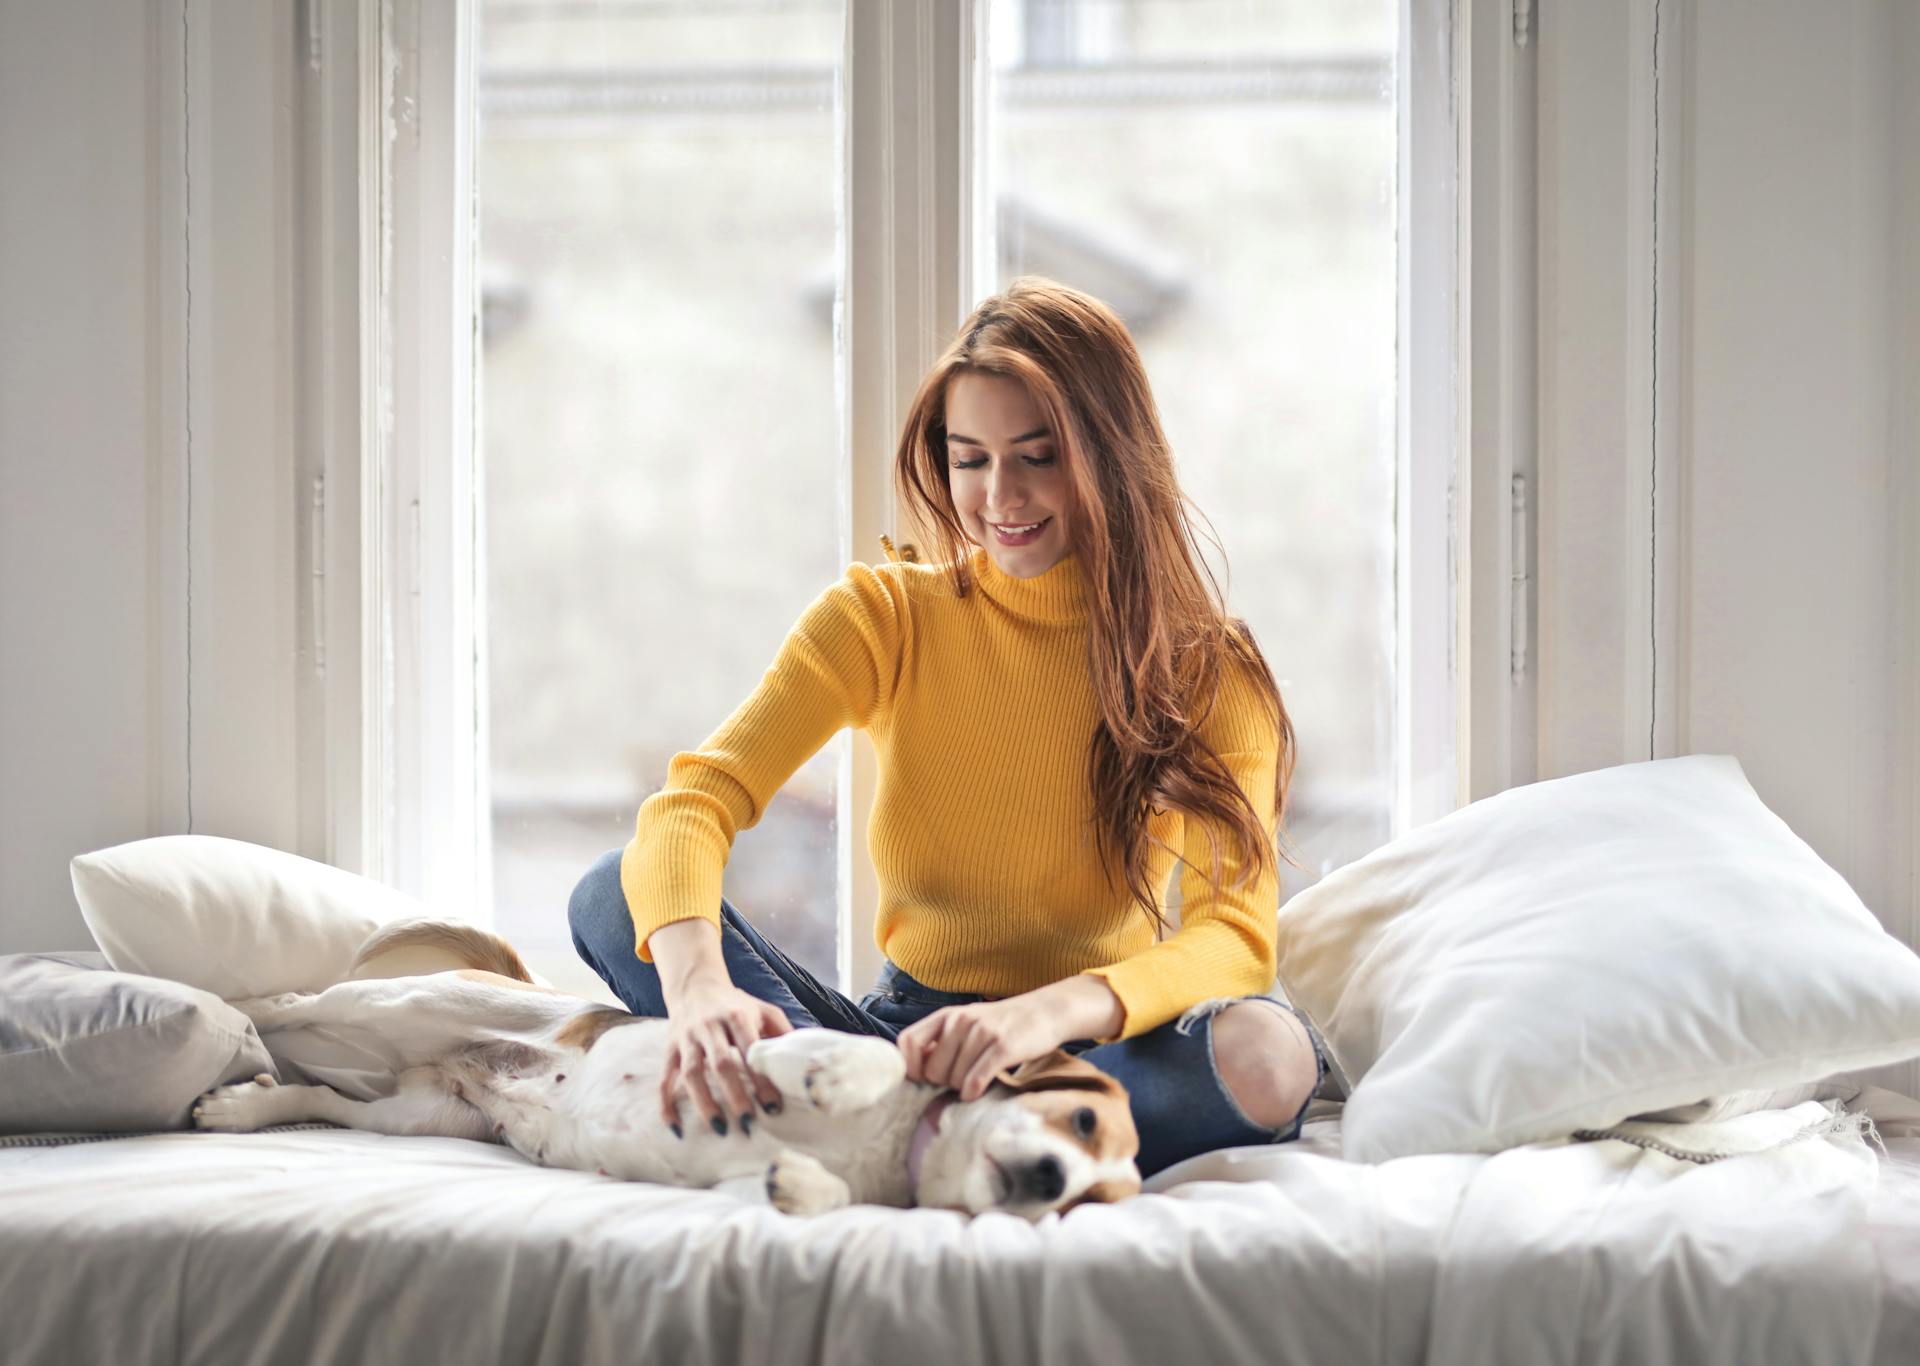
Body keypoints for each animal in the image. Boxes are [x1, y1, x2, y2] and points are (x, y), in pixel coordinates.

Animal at [191, 918, 1136, 1221]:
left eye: (1086, 1202)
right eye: (1083, 1121)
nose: (1051, 1179)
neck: (896, 1146)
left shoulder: (732, 1183)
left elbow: (803, 1189)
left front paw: (804, 1185)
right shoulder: (765, 1045)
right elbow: (866, 1051)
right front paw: (843, 1082)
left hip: (422, 1114)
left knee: (319, 1093)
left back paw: (238, 1108)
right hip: (403, 1004)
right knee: (291, 1002)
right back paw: (218, 1006)